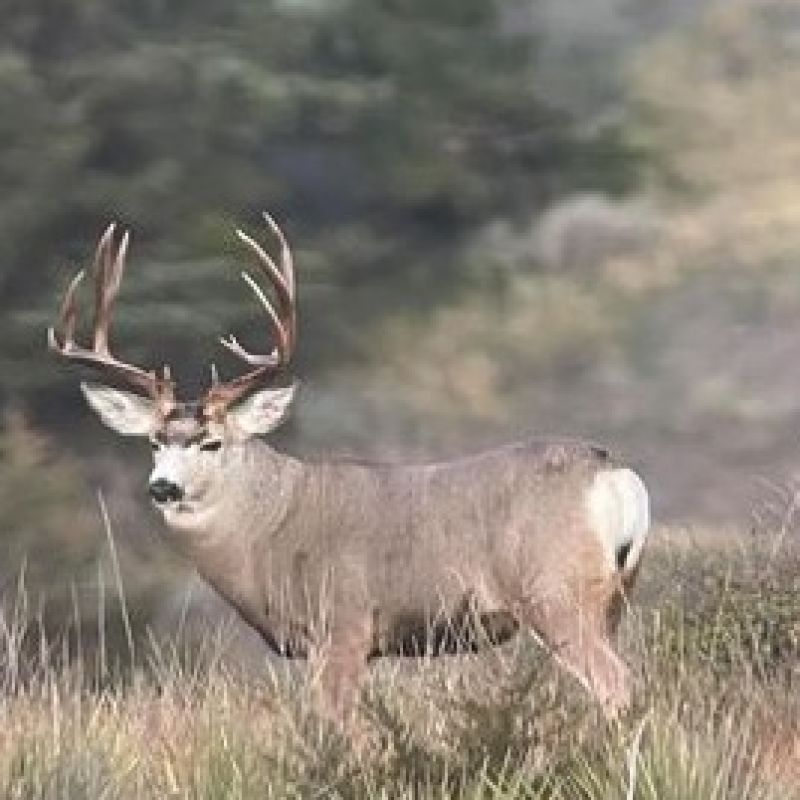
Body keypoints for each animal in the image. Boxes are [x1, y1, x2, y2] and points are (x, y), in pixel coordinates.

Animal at [48, 212, 648, 724]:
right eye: (154, 441)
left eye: (212, 442)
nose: (162, 487)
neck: (269, 531)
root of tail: (614, 475)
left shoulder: (344, 624)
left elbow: (337, 728)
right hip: (611, 601)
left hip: (557, 593)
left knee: (618, 687)